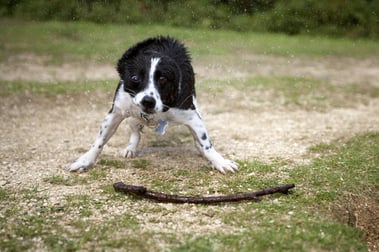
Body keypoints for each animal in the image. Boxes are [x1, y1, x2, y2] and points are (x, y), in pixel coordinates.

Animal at [69, 36, 238, 173]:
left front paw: (220, 161)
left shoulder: (191, 115)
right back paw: (130, 148)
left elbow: (207, 144)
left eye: (163, 79)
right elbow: (99, 142)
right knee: (135, 132)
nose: (148, 101)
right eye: (135, 78)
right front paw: (85, 161)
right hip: (132, 117)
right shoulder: (116, 112)